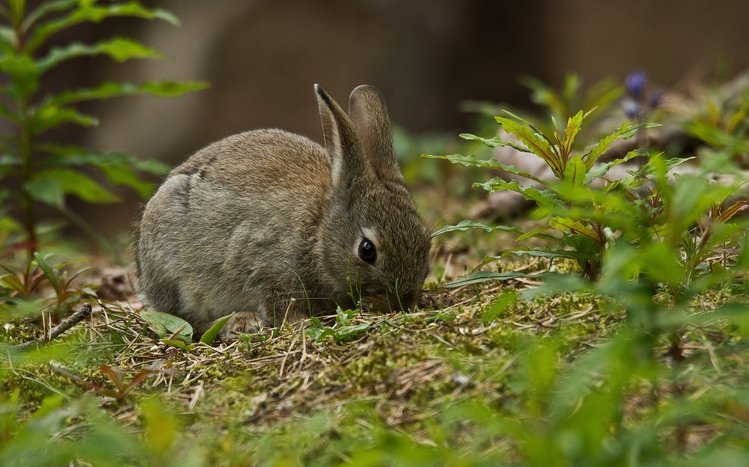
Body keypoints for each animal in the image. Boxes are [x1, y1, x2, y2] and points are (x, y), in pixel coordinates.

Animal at [135, 84, 431, 340]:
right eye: (367, 250)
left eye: (426, 241)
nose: (404, 301)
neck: (319, 232)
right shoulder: (265, 267)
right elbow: (279, 303)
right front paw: (300, 323)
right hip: (172, 269)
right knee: (188, 320)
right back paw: (240, 322)